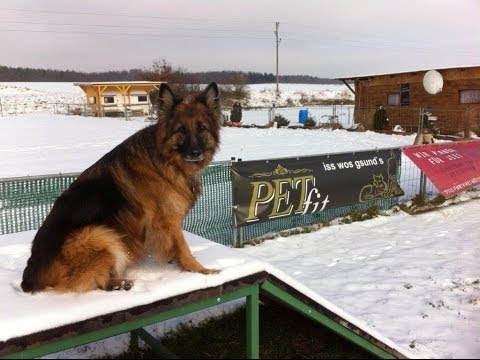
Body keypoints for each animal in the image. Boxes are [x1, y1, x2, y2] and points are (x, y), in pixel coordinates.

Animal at [19, 82, 220, 292]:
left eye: (201, 128)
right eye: (181, 129)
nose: (195, 152)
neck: (164, 158)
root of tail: (29, 279)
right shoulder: (167, 221)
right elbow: (183, 247)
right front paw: (201, 270)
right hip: (98, 234)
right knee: (93, 282)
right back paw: (119, 283)